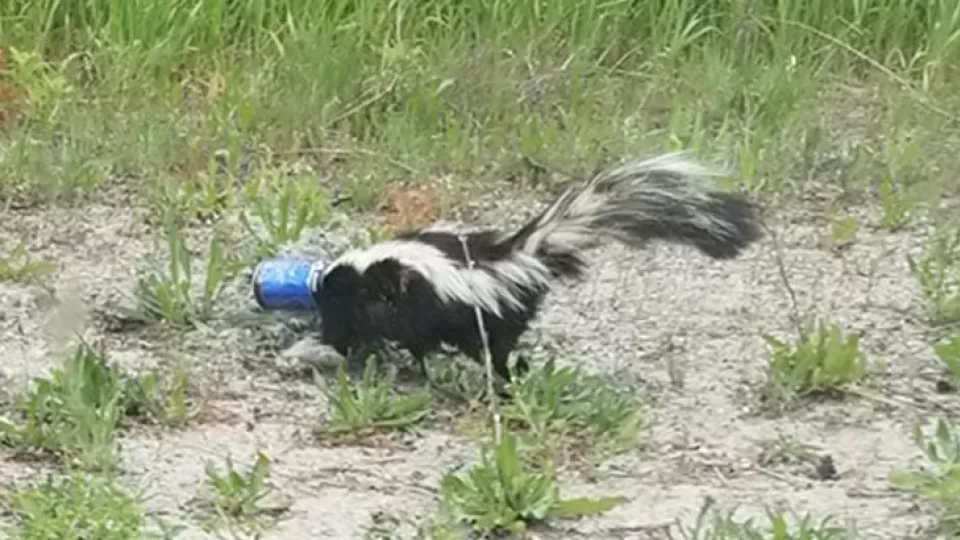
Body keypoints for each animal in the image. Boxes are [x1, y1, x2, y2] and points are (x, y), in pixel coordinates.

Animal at [316, 154, 764, 384]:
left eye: (333, 307)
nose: (334, 342)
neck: (361, 272)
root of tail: (525, 254)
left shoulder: (408, 301)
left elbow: (408, 334)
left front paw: (408, 366)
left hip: (491, 317)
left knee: (496, 350)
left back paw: (508, 377)